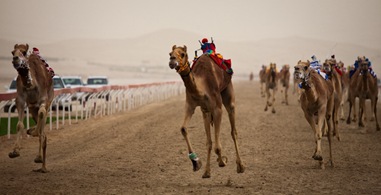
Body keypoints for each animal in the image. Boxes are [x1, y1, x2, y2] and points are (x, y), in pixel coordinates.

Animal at [9, 43, 53, 172]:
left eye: (24, 52)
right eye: (12, 52)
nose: (15, 59)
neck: (31, 85)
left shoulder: (43, 99)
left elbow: (42, 115)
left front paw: (33, 132)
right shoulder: (20, 99)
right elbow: (19, 124)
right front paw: (14, 151)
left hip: (49, 101)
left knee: (43, 130)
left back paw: (42, 165)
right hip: (32, 108)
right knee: (42, 132)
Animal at [168, 44, 245, 178]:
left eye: (183, 54)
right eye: (170, 53)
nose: (172, 61)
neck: (201, 87)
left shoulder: (217, 108)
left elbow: (217, 147)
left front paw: (222, 161)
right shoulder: (192, 105)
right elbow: (184, 129)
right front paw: (197, 164)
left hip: (228, 90)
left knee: (233, 130)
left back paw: (240, 166)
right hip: (206, 111)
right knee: (209, 140)